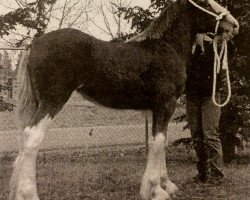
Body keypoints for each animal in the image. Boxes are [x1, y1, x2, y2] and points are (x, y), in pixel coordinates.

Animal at [10, 0, 238, 200]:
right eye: (205, 3)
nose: (234, 24)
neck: (166, 47)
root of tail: (34, 44)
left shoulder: (156, 109)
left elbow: (159, 142)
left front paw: (166, 185)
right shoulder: (166, 104)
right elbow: (158, 142)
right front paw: (155, 191)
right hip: (53, 100)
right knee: (32, 138)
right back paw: (29, 194)